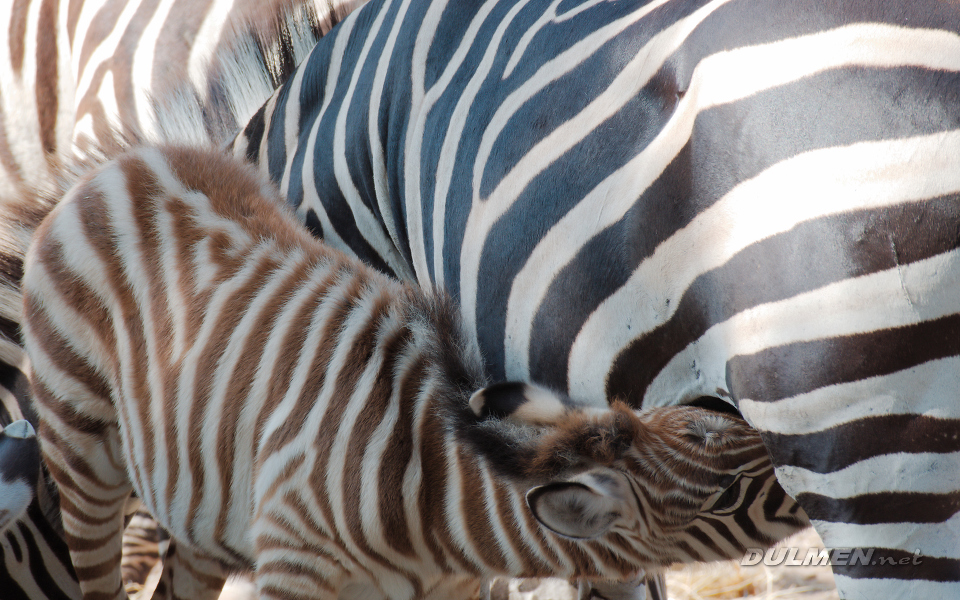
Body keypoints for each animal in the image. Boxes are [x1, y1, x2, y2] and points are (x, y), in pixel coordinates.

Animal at [21, 142, 776, 600]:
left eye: (709, 419)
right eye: (726, 497)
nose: (788, 444)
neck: (430, 505)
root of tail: (127, 160)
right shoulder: (293, 568)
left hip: (205, 494)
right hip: (80, 447)